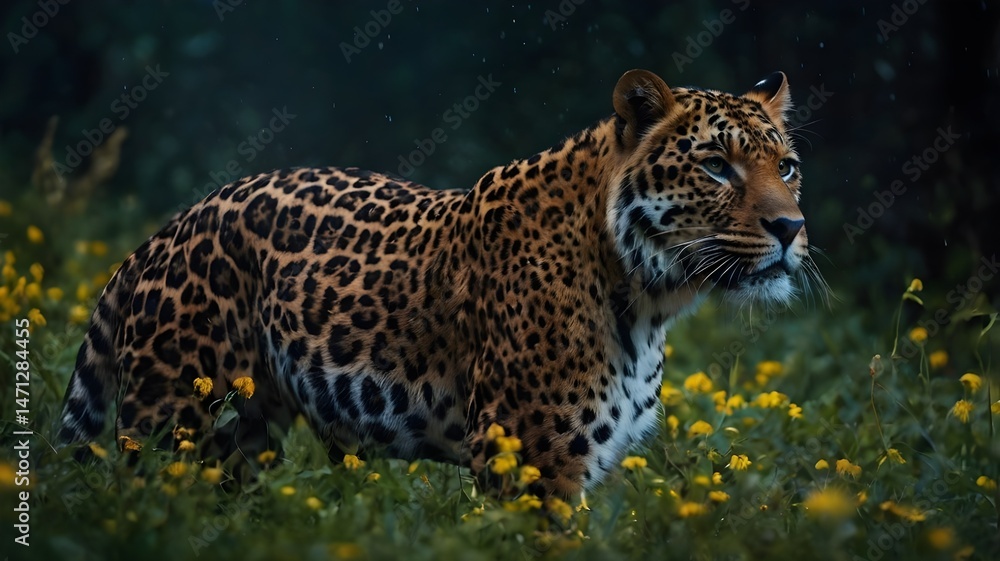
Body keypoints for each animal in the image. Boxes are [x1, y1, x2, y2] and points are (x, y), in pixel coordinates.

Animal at [57, 68, 823, 498]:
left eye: (786, 166)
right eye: (717, 167)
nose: (791, 227)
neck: (649, 295)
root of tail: (172, 225)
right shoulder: (534, 464)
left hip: (247, 430)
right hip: (169, 419)